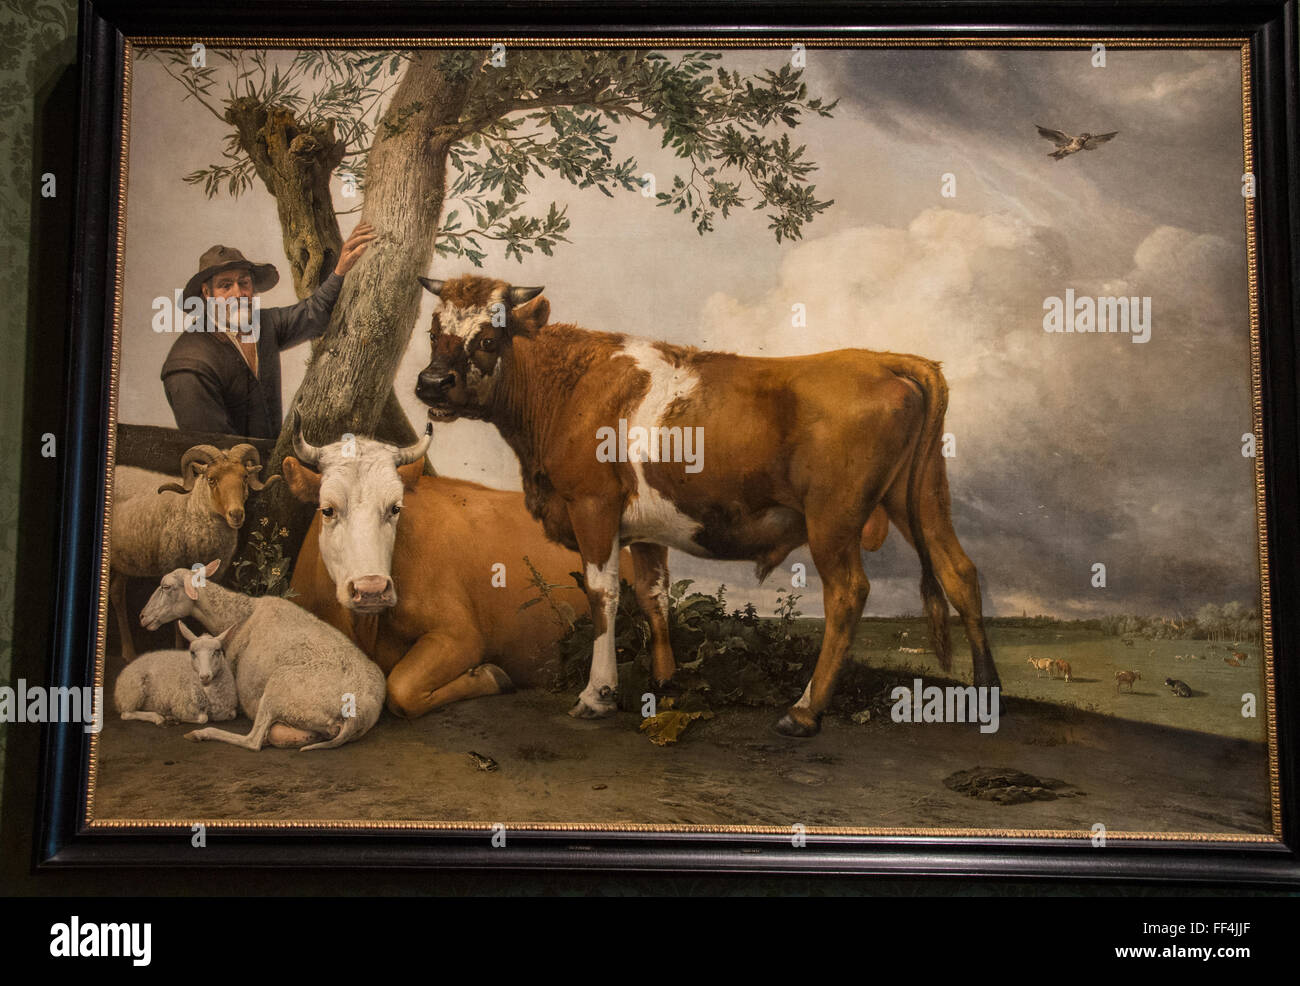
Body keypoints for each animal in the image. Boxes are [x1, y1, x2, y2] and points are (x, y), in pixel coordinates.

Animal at [109, 447, 279, 663]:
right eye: (211, 479)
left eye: (245, 477)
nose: (236, 515)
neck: (189, 507)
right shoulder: (174, 570)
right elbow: (178, 619)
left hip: (125, 560)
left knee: (116, 593)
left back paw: (128, 651)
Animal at [141, 559, 387, 754]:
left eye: (166, 586)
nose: (142, 617)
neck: (241, 615)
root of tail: (357, 714)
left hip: (277, 689)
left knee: (253, 741)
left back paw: (201, 733)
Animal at [283, 416, 670, 718]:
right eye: (328, 509)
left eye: (395, 508)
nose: (372, 589)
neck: (367, 627)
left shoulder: (461, 635)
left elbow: (401, 689)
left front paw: (489, 676)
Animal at [410, 274, 998, 738]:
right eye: (434, 333)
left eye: (488, 338)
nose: (432, 383)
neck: (568, 388)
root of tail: (885, 359)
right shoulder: (643, 530)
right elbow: (653, 596)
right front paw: (665, 681)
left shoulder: (592, 505)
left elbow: (603, 595)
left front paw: (598, 694)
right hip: (921, 495)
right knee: (959, 571)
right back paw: (986, 691)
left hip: (834, 517)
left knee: (849, 594)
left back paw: (804, 712)